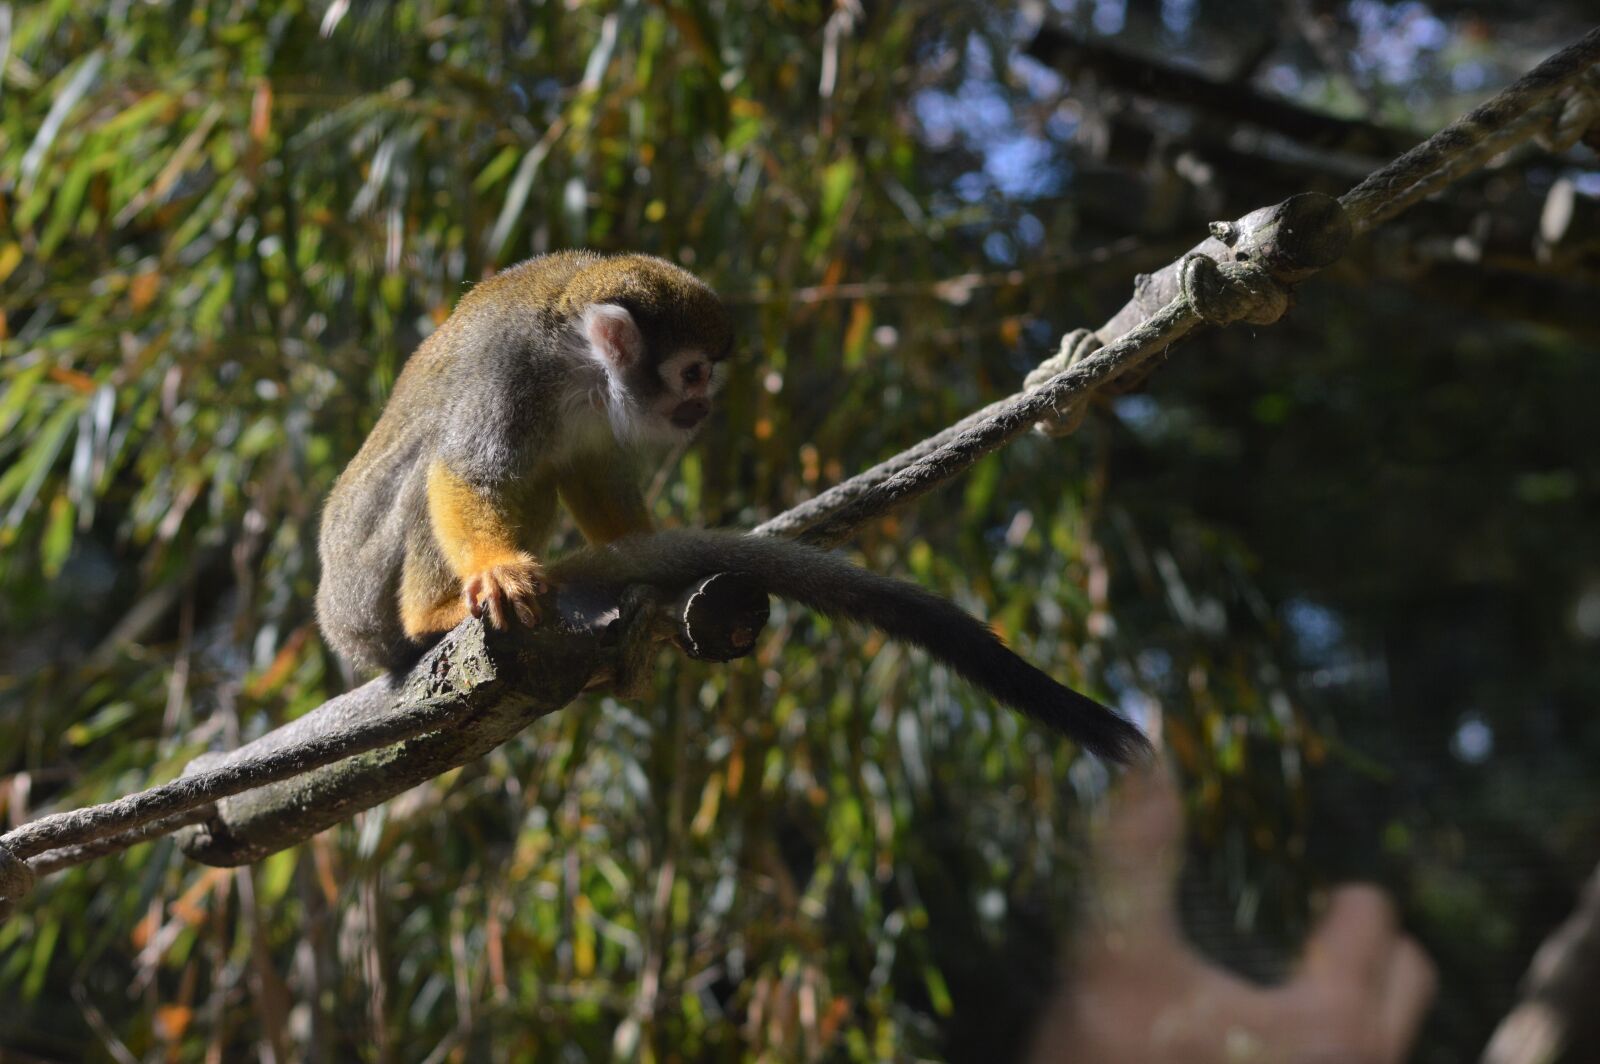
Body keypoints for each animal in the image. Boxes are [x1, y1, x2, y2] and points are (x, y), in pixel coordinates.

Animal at [315, 250, 1149, 764]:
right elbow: (470, 471)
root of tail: (340, 630)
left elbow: (589, 470)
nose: (705, 406)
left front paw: (645, 558)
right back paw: (429, 619)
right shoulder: (511, 369)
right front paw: (494, 570)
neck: (578, 365)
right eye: (691, 373)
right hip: (366, 602)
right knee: (433, 468)